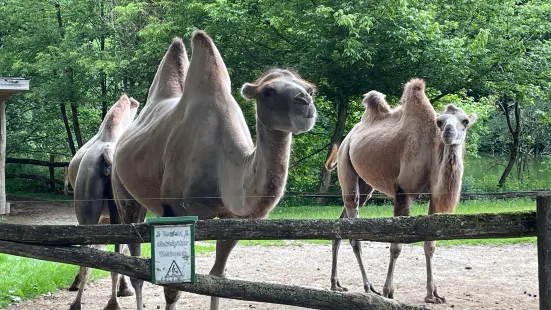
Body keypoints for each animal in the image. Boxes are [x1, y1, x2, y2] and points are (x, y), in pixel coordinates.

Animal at [111, 29, 320, 310]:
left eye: (310, 89)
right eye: (268, 91)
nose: (305, 102)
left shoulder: (233, 219)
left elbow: (218, 277)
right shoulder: (175, 211)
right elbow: (173, 288)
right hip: (123, 191)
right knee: (131, 259)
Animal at [326, 78, 476, 304]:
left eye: (465, 121)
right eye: (440, 122)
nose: (448, 132)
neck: (431, 152)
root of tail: (348, 137)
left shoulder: (434, 196)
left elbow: (430, 245)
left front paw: (432, 294)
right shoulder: (403, 192)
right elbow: (396, 245)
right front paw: (388, 292)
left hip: (365, 186)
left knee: (342, 223)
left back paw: (336, 284)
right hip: (346, 165)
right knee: (354, 232)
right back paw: (369, 287)